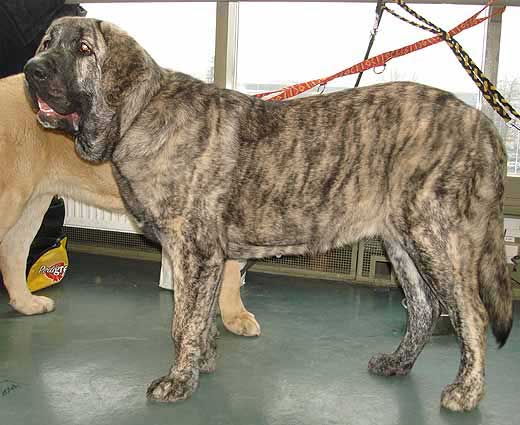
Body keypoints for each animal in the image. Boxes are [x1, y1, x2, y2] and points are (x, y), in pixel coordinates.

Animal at [24, 17, 512, 410]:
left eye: (84, 49)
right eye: (47, 41)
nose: (33, 70)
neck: (139, 113)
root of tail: (482, 124)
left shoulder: (193, 251)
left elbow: (183, 322)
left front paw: (179, 381)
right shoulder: (203, 258)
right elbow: (199, 318)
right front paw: (203, 362)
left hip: (436, 237)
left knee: (472, 314)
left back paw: (467, 391)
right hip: (402, 242)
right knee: (424, 307)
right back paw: (399, 362)